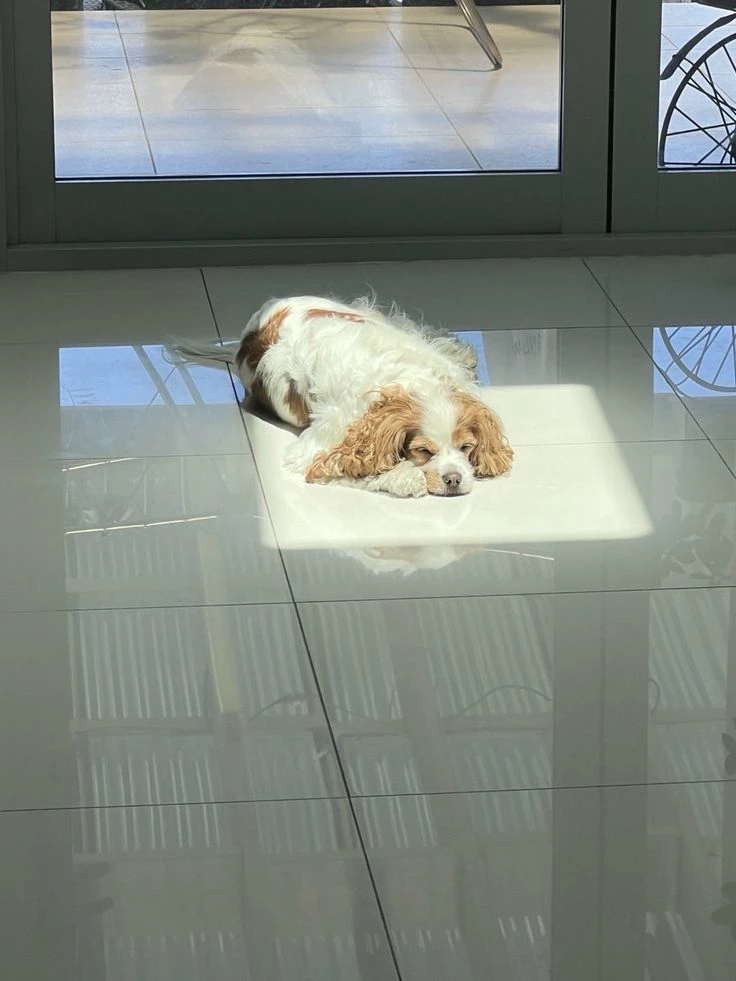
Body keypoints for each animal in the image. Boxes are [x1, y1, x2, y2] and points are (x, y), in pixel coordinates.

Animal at [170, 296, 512, 498]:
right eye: (423, 451)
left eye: (466, 447)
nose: (454, 479)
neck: (403, 383)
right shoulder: (316, 447)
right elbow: (354, 468)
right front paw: (406, 477)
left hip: (368, 313)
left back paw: (463, 353)